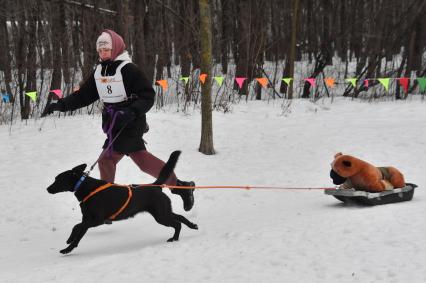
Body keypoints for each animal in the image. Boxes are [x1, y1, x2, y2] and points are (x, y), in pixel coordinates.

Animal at [46, 151, 198, 255]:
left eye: (58, 179)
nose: (47, 189)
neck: (85, 186)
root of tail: (155, 185)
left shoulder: (97, 219)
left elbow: (78, 228)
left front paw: (67, 246)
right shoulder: (88, 219)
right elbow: (77, 230)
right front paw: (69, 242)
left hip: (161, 215)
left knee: (177, 223)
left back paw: (175, 238)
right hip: (163, 211)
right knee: (180, 218)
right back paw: (192, 226)